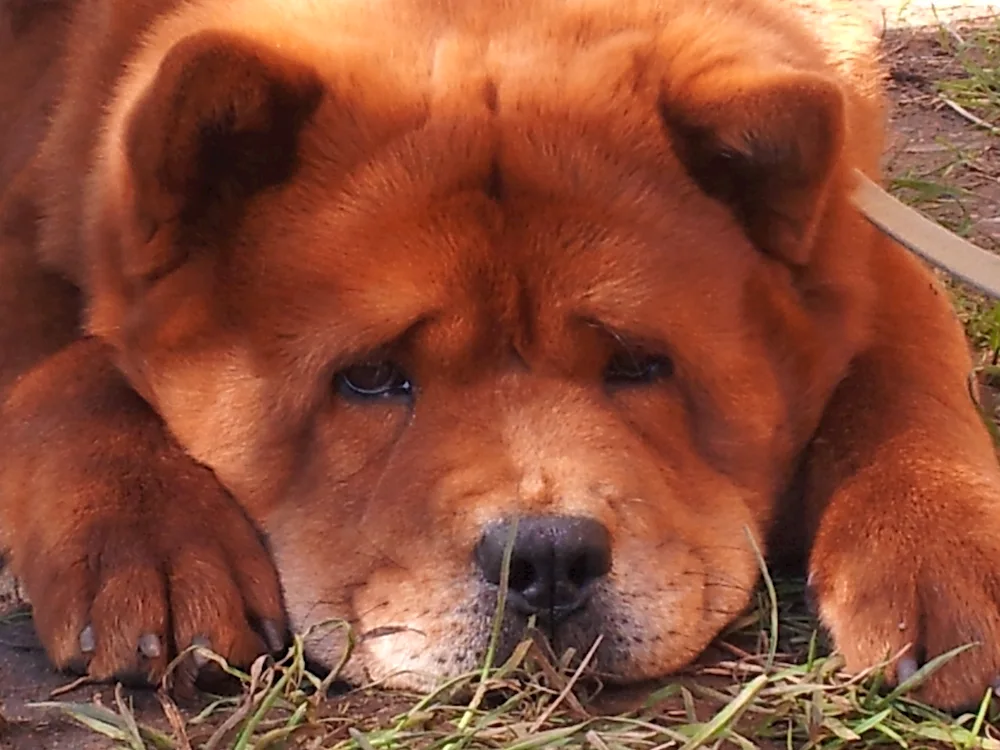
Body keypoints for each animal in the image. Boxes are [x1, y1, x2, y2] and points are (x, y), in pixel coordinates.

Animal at [1, 0, 1000, 712]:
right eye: (370, 377)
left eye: (638, 364)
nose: (547, 559)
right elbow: (69, 364)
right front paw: (150, 538)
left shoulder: (861, 245)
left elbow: (906, 378)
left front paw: (947, 550)